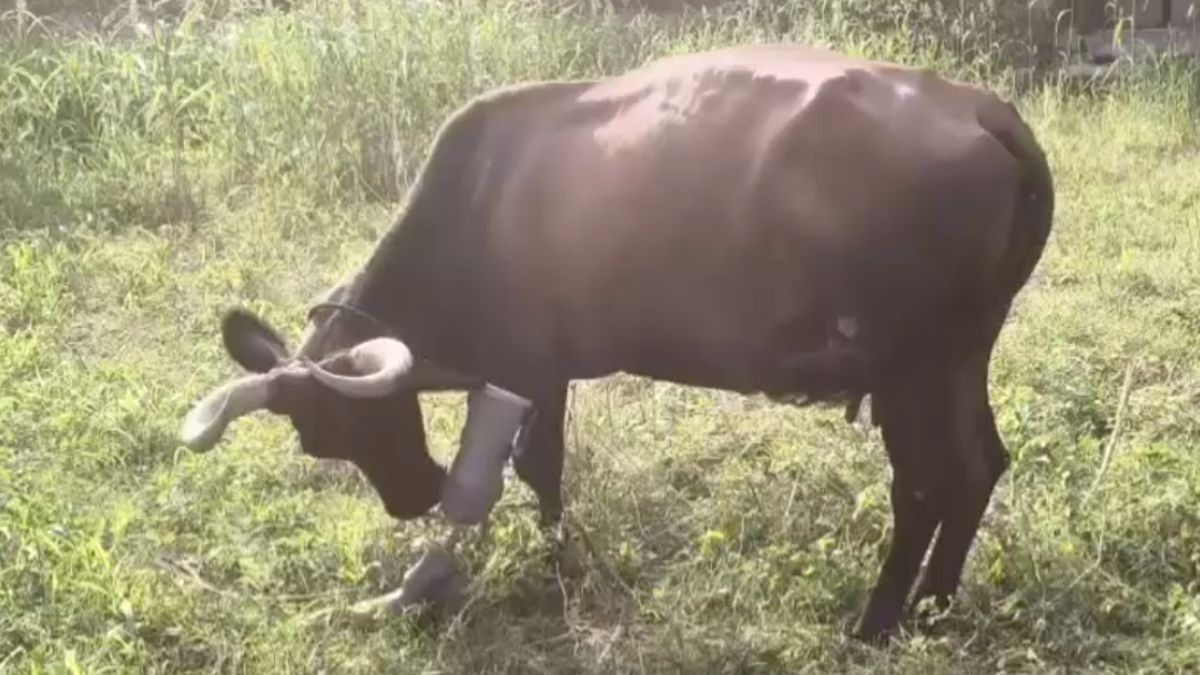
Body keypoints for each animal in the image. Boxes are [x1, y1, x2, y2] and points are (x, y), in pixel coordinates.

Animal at [178, 43, 1054, 643]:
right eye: (319, 439)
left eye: (372, 417)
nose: (411, 496)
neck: (472, 209)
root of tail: (985, 111)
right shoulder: (542, 372)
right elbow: (536, 465)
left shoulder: (529, 363)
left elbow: (536, 464)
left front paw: (557, 562)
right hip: (962, 356)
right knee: (981, 464)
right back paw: (936, 601)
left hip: (912, 365)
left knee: (925, 484)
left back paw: (876, 621)